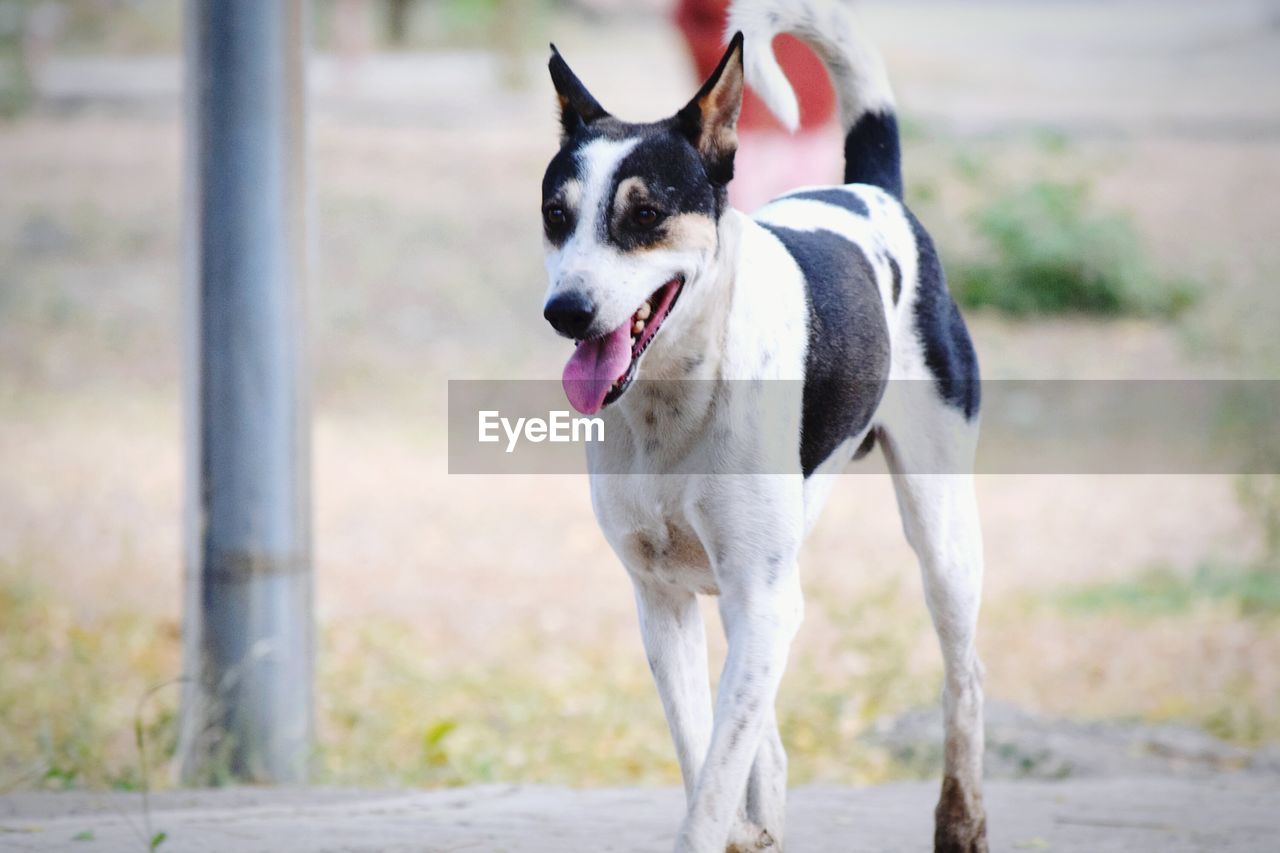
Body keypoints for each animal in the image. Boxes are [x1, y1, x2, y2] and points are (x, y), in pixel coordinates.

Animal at [535, 3, 983, 845]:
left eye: (645, 214)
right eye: (555, 215)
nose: (565, 311)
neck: (675, 397)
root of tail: (870, 189)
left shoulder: (764, 596)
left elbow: (714, 779)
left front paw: (724, 829)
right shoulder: (662, 598)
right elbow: (701, 746)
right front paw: (744, 831)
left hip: (943, 536)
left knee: (964, 674)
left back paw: (963, 819)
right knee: (762, 739)